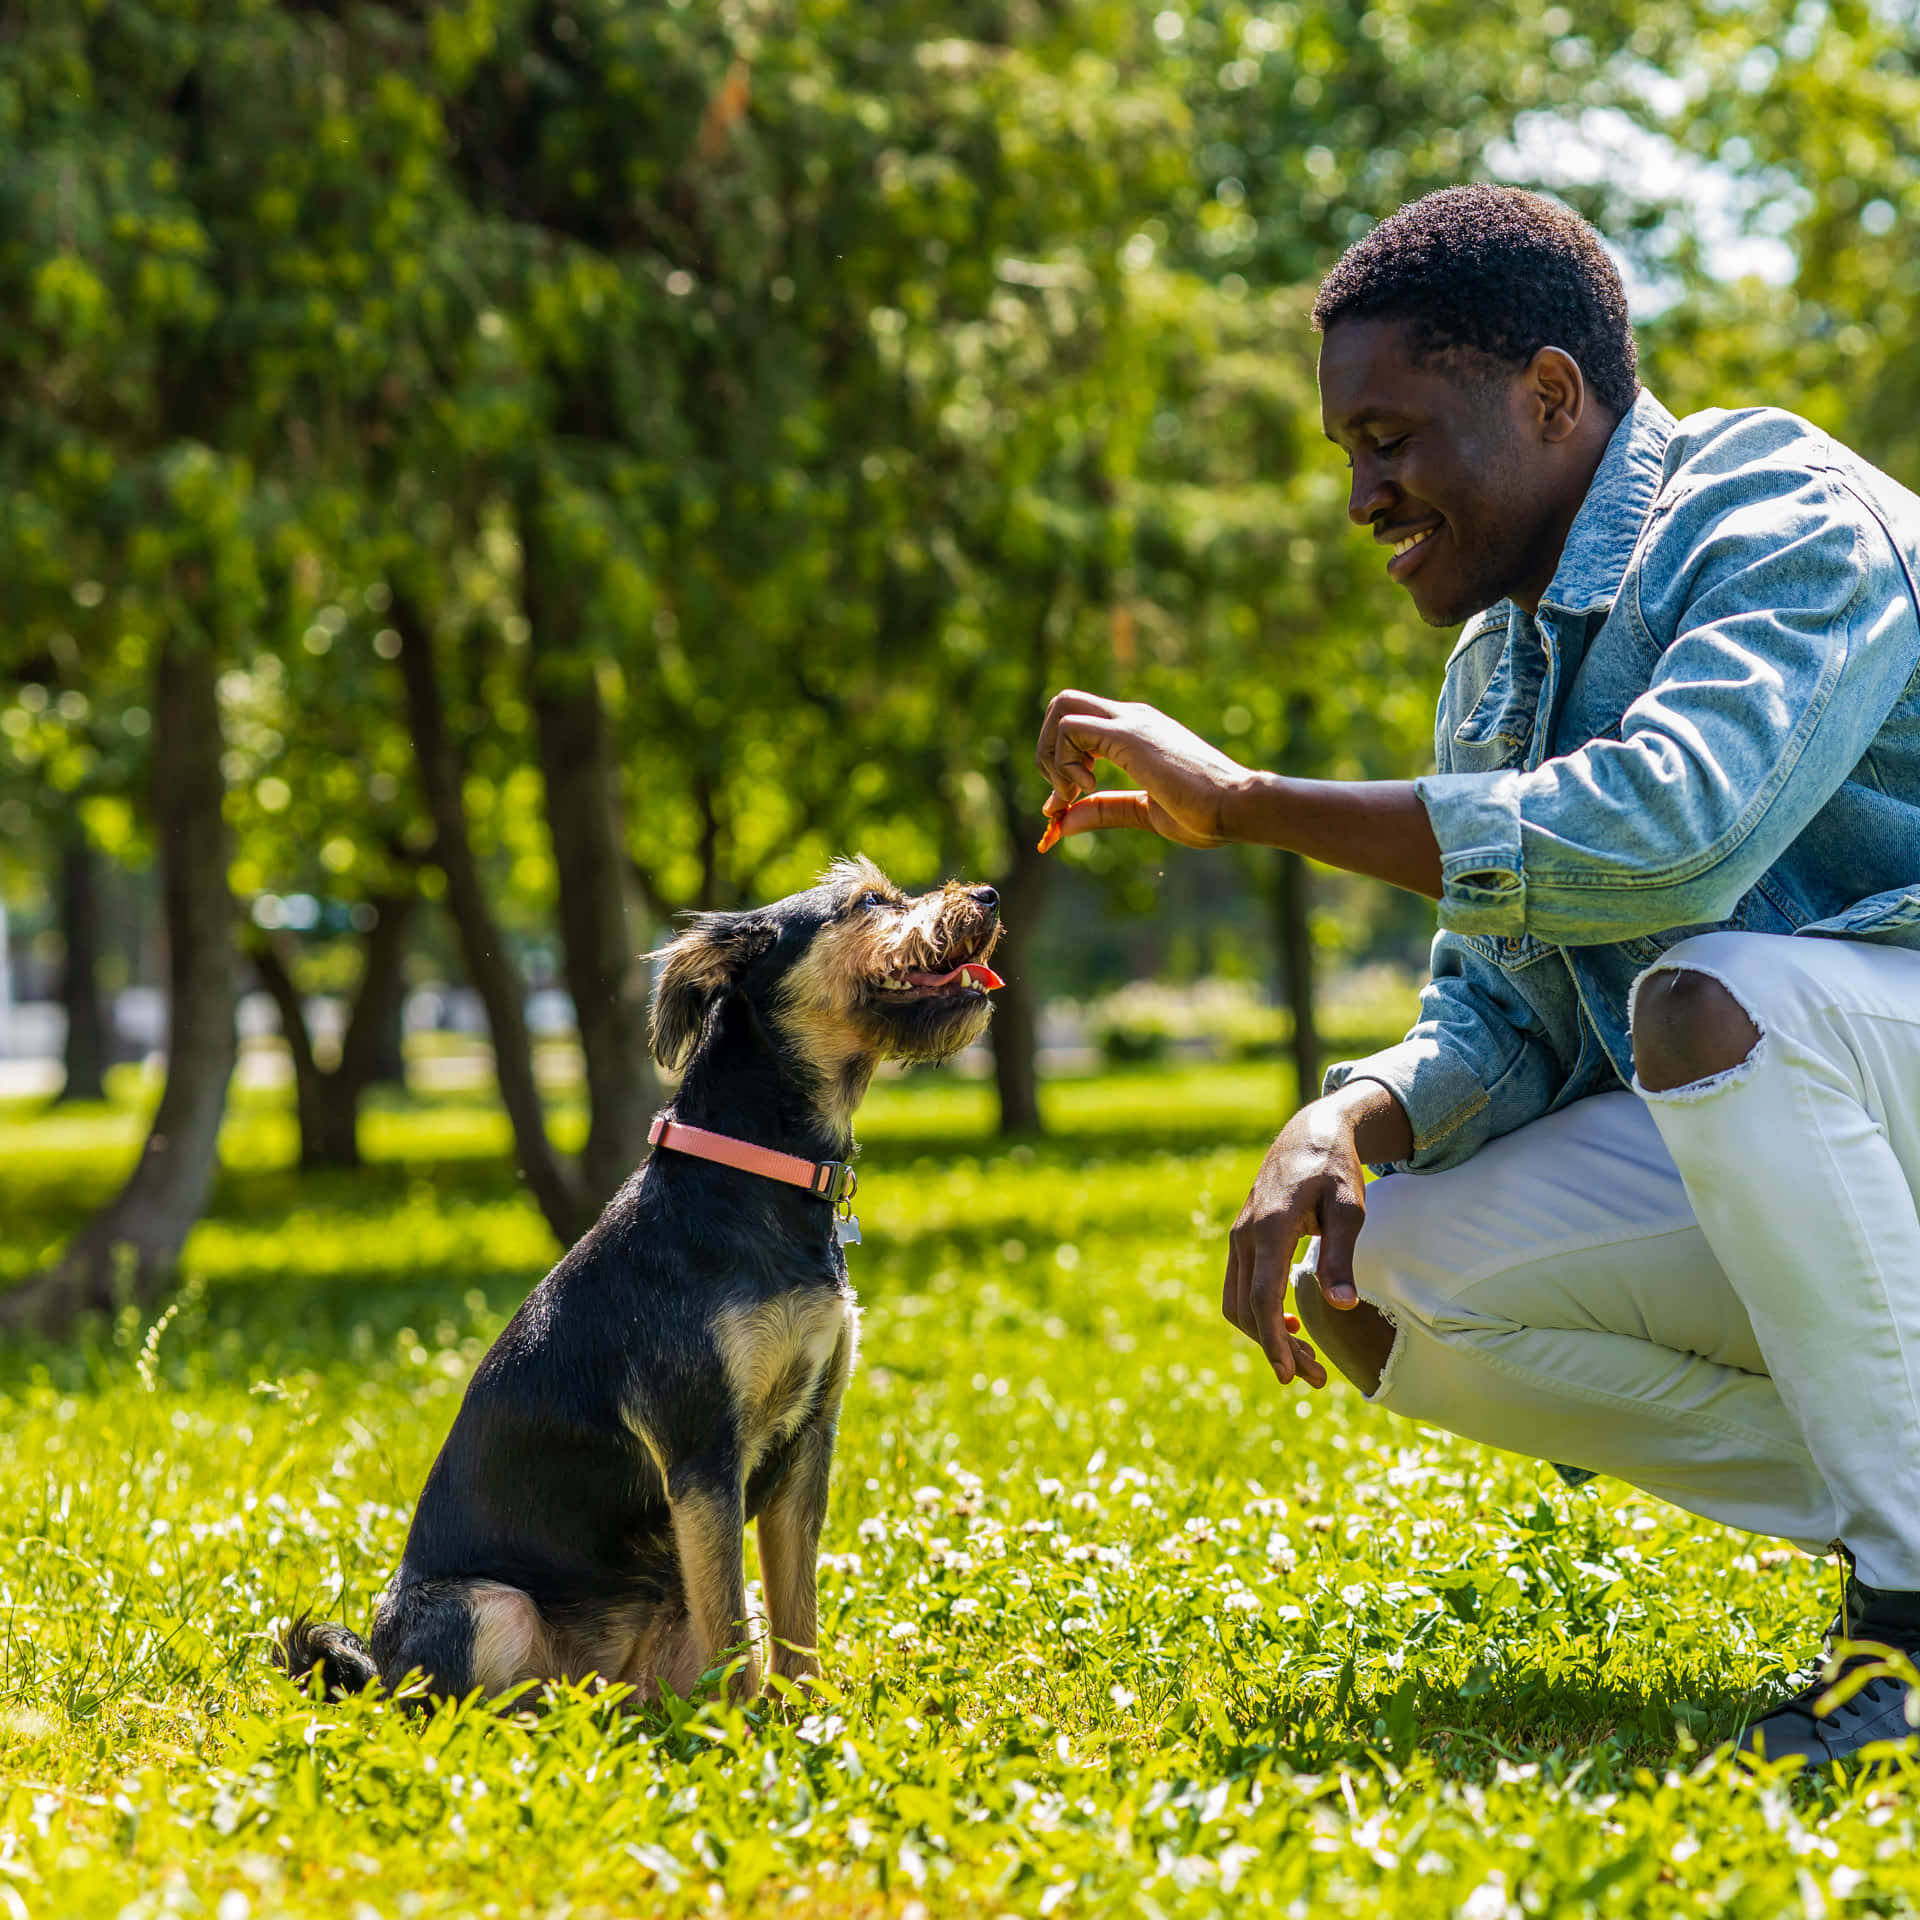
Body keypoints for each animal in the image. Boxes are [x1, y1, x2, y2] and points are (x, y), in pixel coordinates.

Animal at [288, 864, 1006, 1704]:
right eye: (867, 902)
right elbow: (736, 1635)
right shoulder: (703, 1455)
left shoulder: (808, 1441)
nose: (988, 896)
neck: (759, 1174)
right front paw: (749, 1728)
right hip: (491, 1608)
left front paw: (810, 1712)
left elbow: (794, 1618)